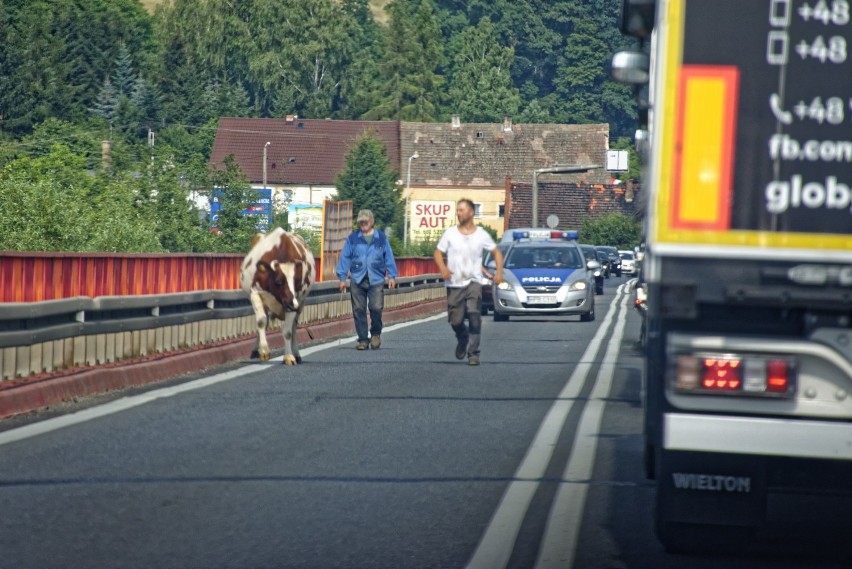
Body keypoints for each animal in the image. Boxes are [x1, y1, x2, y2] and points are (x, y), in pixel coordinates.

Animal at [240, 229, 316, 366]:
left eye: (297, 281)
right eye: (278, 282)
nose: (292, 304)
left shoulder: (295, 300)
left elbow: (288, 331)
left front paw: (289, 356)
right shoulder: (255, 294)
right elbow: (261, 322)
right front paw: (264, 351)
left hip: (300, 304)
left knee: (294, 327)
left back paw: (297, 354)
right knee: (265, 321)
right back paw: (256, 350)